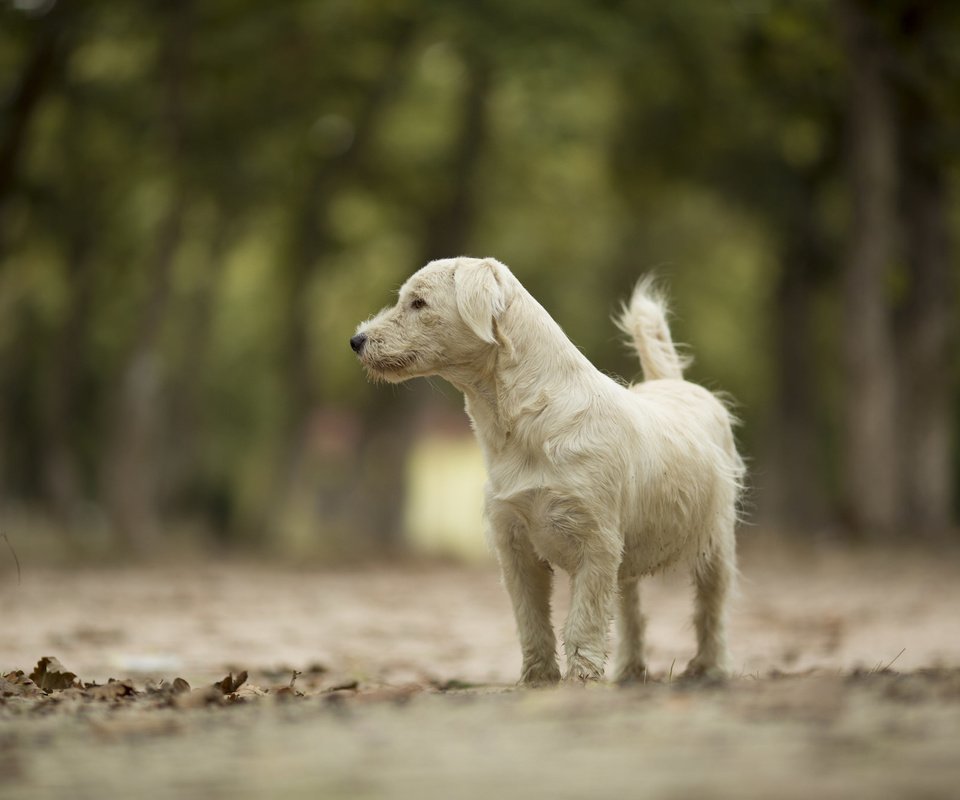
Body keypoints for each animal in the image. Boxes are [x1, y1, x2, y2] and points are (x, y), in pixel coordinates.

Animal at [350, 256, 744, 680]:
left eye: (418, 303)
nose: (356, 341)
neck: (526, 419)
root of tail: (675, 384)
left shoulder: (596, 546)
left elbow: (583, 623)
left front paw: (581, 680)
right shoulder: (516, 546)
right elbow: (531, 621)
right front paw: (539, 679)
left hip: (715, 544)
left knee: (711, 608)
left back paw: (709, 668)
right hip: (631, 560)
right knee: (632, 612)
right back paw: (630, 671)